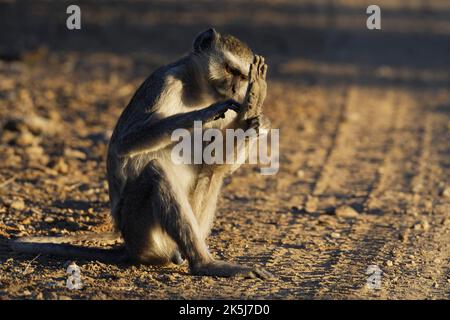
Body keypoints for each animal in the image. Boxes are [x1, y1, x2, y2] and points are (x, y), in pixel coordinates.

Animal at [12, 30, 270, 280]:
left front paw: (253, 109)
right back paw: (204, 264)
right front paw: (208, 112)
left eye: (242, 77)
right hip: (139, 227)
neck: (198, 89)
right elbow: (125, 142)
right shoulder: (165, 82)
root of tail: (128, 244)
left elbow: (216, 160)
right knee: (157, 172)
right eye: (230, 70)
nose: (236, 89)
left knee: (212, 172)